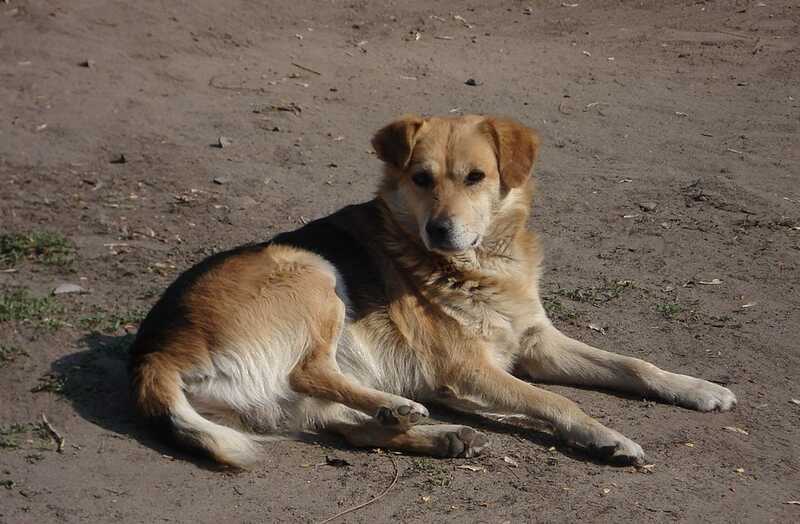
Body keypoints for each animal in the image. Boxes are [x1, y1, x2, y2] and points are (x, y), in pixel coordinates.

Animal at [128, 113, 736, 466]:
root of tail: (154, 353)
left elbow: (634, 365)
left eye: (476, 178)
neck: (482, 264)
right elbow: (555, 400)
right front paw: (606, 435)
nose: (440, 230)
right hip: (313, 272)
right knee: (311, 370)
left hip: (294, 390)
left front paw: (698, 387)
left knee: (346, 428)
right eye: (421, 179)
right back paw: (399, 406)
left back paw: (435, 433)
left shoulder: (537, 344)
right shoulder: (470, 369)